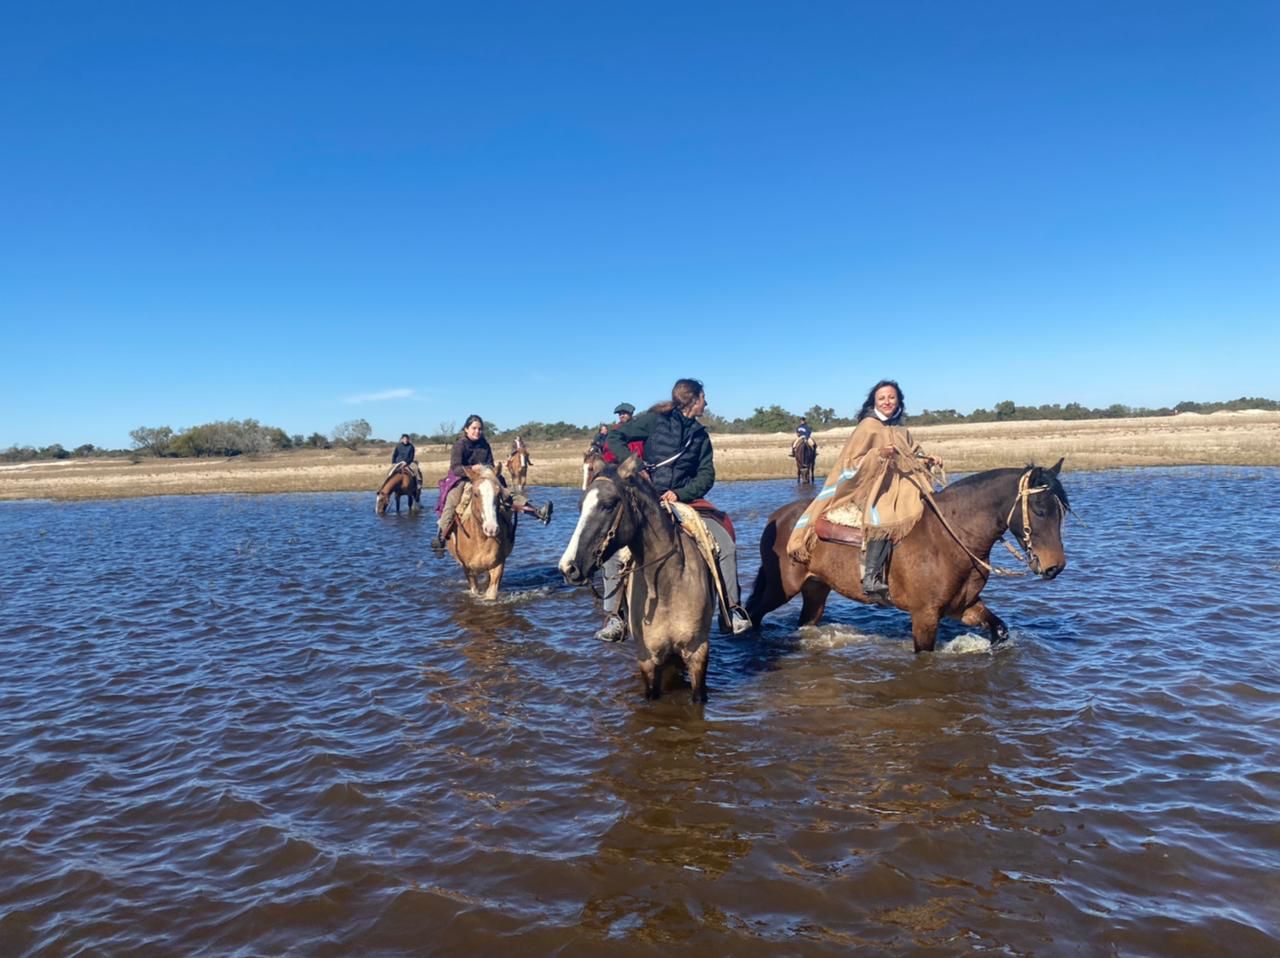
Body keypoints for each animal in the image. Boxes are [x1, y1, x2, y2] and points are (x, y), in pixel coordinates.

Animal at [445, 463, 514, 599]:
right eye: (476, 494)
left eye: (498, 493)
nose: (491, 528)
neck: (480, 540)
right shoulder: (469, 570)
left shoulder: (498, 566)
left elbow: (491, 594)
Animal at [560, 458, 721, 701]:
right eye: (581, 506)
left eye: (608, 504)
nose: (568, 567)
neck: (668, 586)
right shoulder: (648, 660)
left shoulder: (697, 653)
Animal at [747, 461, 1075, 655]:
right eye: (1040, 510)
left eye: (1062, 511)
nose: (1055, 567)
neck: (949, 536)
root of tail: (777, 517)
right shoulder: (925, 616)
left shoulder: (963, 606)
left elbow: (999, 629)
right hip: (781, 588)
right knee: (754, 613)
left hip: (816, 589)